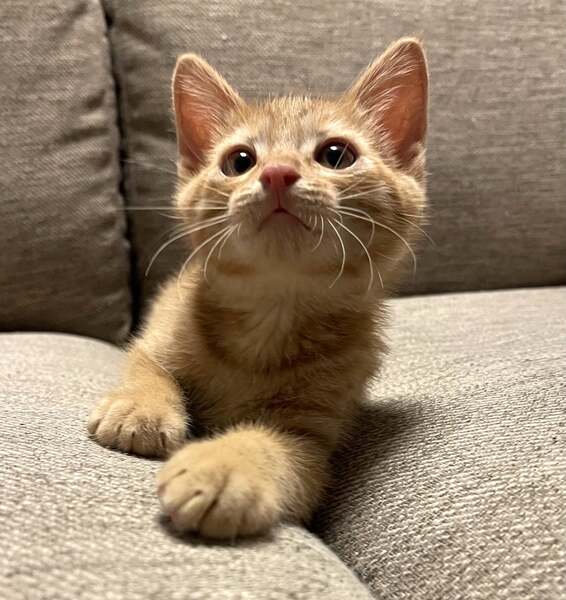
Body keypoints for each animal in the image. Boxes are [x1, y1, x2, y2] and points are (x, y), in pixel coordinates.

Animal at [87, 37, 428, 539]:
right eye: (240, 161)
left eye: (336, 155)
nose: (278, 172)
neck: (270, 312)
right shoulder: (160, 331)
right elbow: (146, 367)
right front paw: (140, 409)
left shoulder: (312, 434)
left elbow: (276, 445)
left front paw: (225, 467)